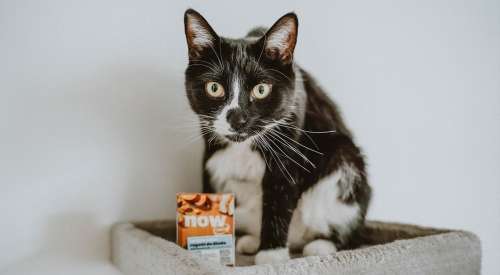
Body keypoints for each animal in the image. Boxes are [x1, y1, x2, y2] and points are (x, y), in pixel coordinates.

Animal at [182, 8, 370, 266]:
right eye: (214, 88)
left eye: (262, 89)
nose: (237, 118)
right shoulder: (211, 150)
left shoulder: (289, 149)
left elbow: (279, 196)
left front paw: (271, 254)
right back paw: (252, 240)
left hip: (345, 161)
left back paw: (322, 245)